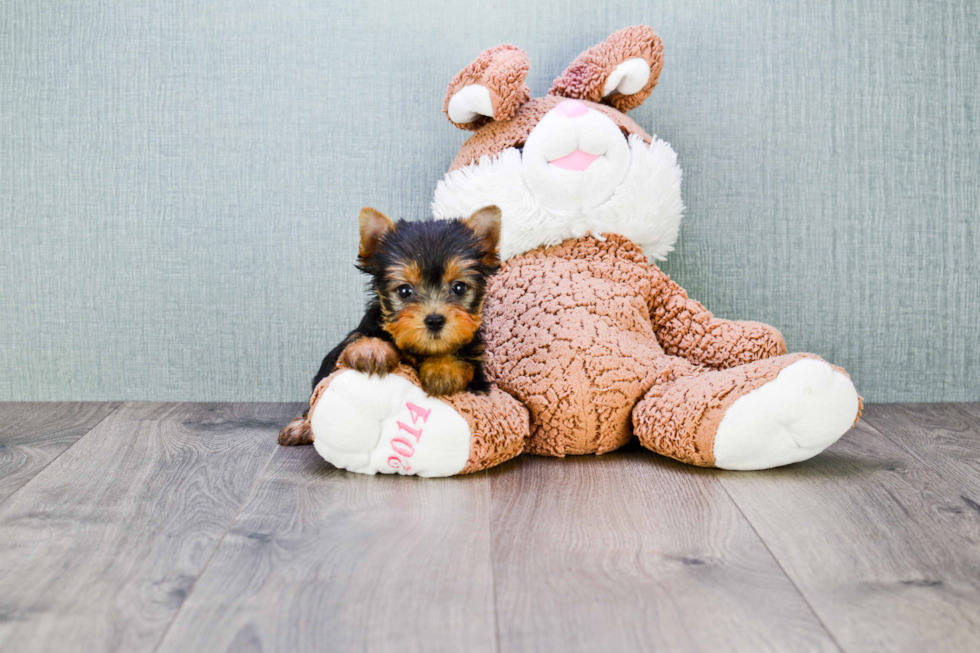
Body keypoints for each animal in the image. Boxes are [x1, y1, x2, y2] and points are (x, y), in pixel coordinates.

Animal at [280, 206, 502, 446]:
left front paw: (444, 368)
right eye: (404, 291)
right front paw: (371, 349)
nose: (434, 319)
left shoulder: (478, 376)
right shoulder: (356, 336)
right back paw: (301, 426)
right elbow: (356, 338)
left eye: (459, 288)